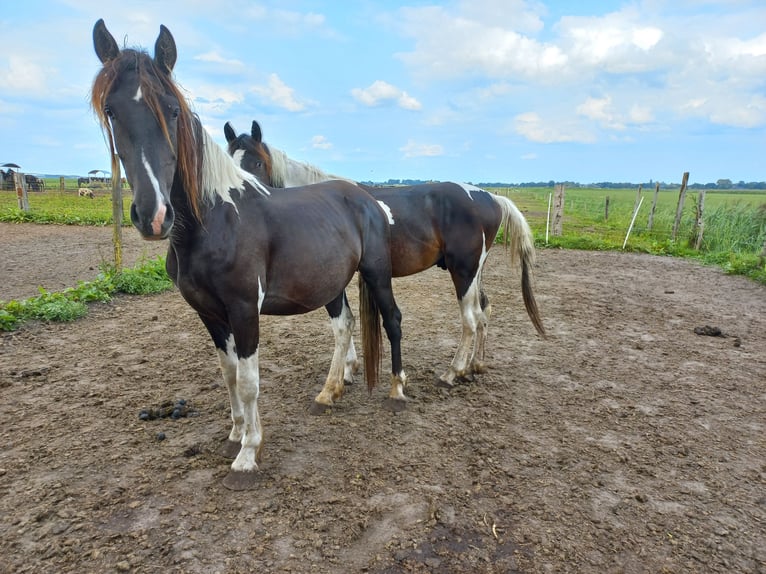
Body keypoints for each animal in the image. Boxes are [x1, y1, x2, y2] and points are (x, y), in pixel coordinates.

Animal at [91, 21, 408, 490]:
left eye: (171, 109)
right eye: (111, 110)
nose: (154, 215)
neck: (215, 220)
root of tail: (364, 196)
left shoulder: (243, 310)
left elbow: (248, 382)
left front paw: (248, 455)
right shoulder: (209, 313)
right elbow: (228, 376)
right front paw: (234, 436)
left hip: (376, 273)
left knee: (392, 320)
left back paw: (397, 391)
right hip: (331, 283)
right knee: (344, 326)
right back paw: (328, 393)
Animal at [225, 122, 548, 392]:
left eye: (256, 162)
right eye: (229, 160)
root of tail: (490, 197)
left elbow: (342, 322)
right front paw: (348, 370)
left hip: (463, 272)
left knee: (470, 319)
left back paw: (452, 373)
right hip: (474, 272)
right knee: (484, 311)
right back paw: (473, 366)